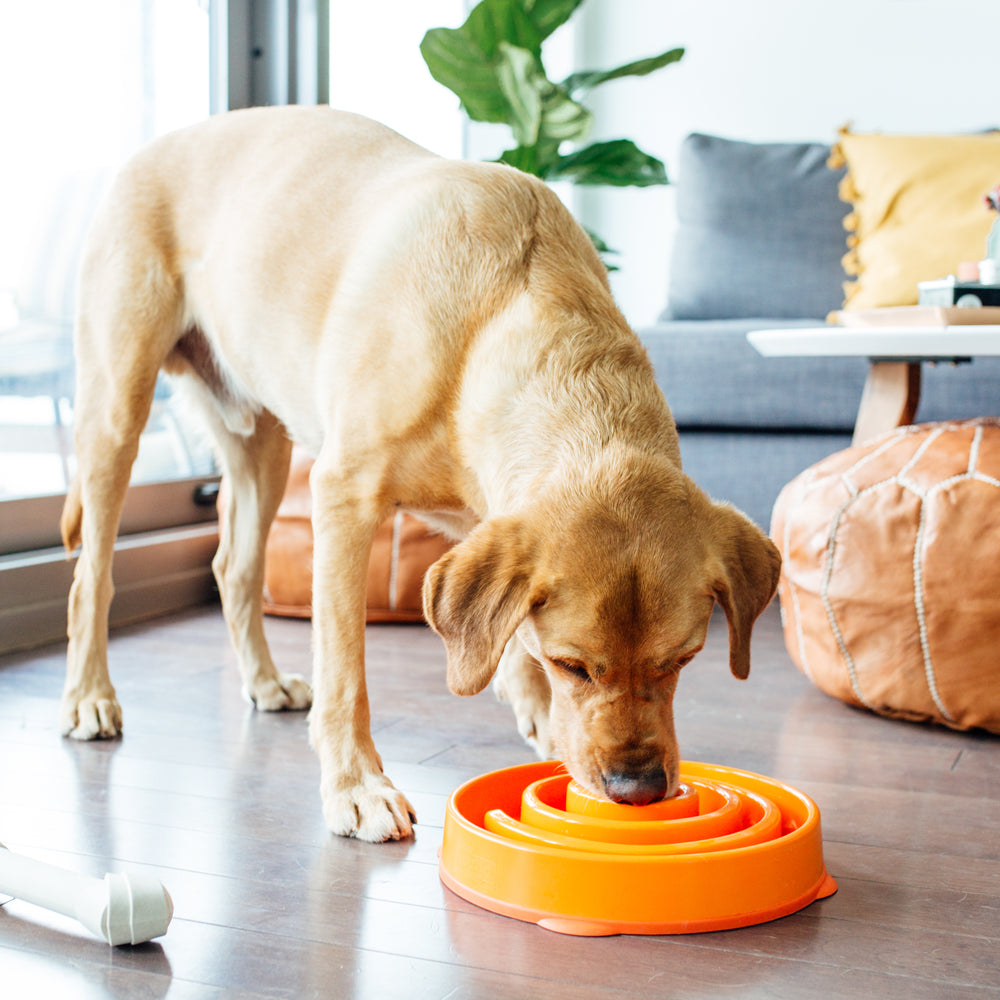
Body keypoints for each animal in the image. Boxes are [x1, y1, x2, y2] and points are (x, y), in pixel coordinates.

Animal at [60, 105, 780, 840]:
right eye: (573, 665)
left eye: (682, 661)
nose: (638, 788)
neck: (502, 316)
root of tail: (161, 142)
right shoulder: (343, 497)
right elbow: (346, 669)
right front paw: (356, 784)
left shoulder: (490, 526)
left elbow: (503, 634)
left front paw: (538, 717)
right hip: (117, 413)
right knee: (92, 576)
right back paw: (89, 696)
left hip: (263, 445)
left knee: (233, 568)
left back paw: (262, 681)